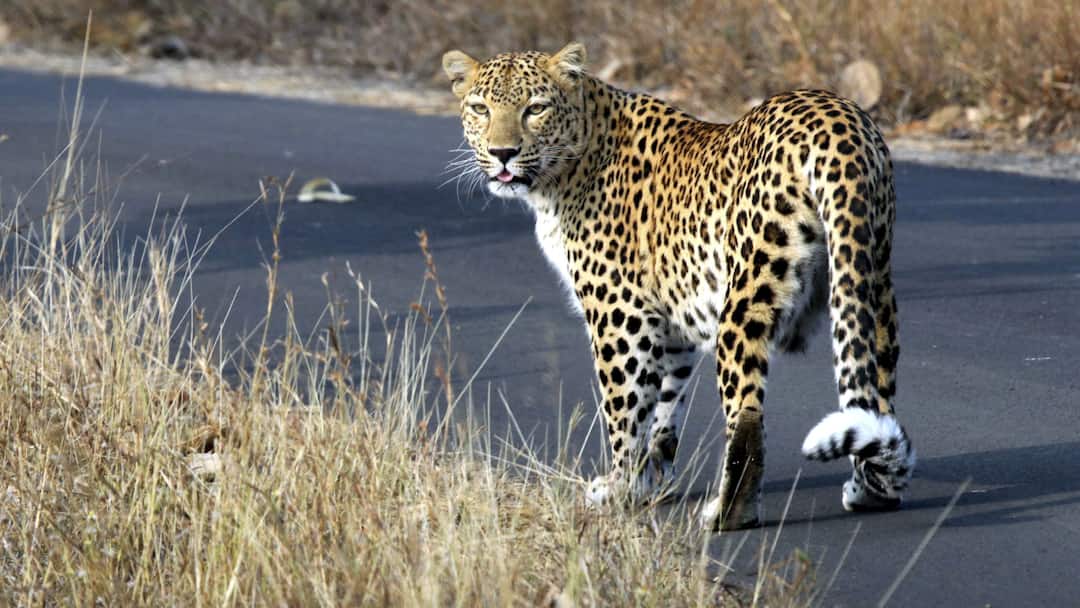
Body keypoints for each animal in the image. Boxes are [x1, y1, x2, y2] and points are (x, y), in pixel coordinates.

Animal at [442, 42, 915, 530]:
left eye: (535, 109)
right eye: (481, 109)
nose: (502, 152)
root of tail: (837, 120)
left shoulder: (620, 313)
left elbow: (624, 407)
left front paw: (620, 487)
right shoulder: (670, 321)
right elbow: (665, 404)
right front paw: (652, 482)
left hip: (746, 298)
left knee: (747, 413)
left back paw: (728, 513)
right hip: (869, 279)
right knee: (872, 393)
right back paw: (872, 491)